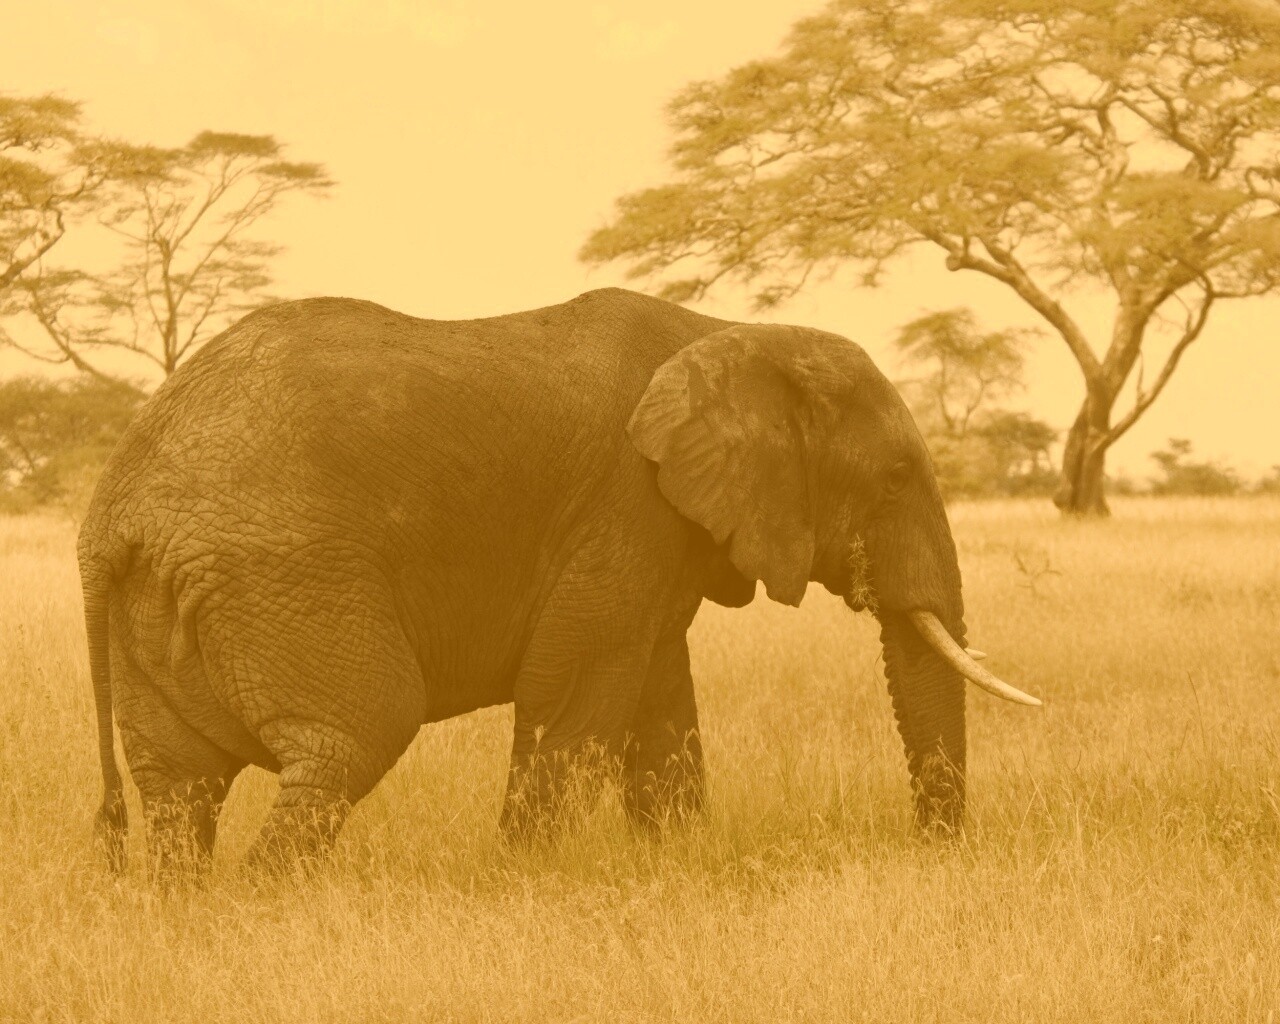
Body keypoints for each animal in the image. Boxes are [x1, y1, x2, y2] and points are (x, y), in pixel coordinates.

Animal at [78, 287, 1039, 873]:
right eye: (894, 479)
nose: (933, 853)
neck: (727, 332)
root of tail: (111, 510)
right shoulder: (625, 506)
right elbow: (575, 691)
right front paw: (523, 881)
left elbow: (658, 701)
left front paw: (674, 866)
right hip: (282, 575)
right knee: (355, 734)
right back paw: (267, 905)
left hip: (167, 603)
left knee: (180, 788)